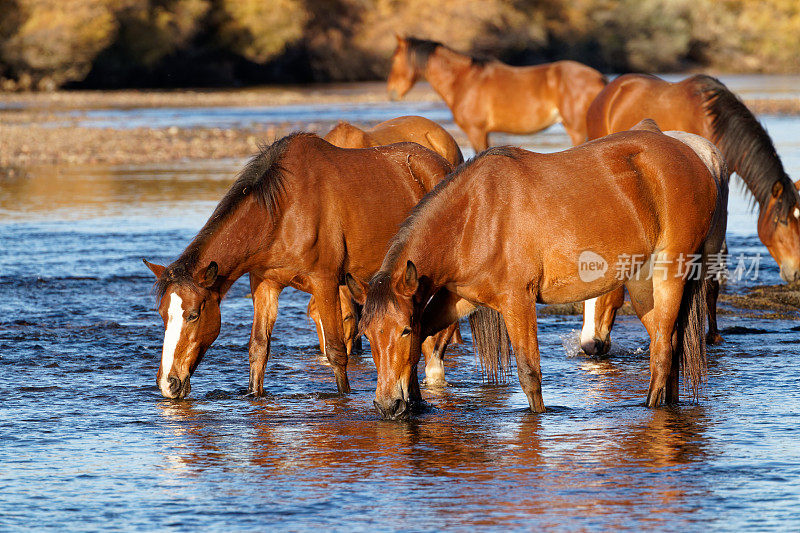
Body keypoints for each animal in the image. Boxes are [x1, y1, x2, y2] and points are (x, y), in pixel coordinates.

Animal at [141, 133, 454, 400]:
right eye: (163, 315)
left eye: (193, 315)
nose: (168, 383)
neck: (282, 212)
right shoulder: (265, 284)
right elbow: (258, 349)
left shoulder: (325, 283)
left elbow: (336, 351)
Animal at [350, 122, 724, 418]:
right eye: (366, 334)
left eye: (402, 331)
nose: (386, 406)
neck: (474, 216)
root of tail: (693, 156)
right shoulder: (459, 300)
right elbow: (426, 336)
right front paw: (412, 398)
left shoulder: (517, 301)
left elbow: (529, 372)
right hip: (643, 285)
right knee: (670, 345)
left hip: (669, 273)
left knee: (661, 352)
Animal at [388, 34, 608, 150]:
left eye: (395, 59)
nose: (391, 92)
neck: (463, 81)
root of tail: (599, 78)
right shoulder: (484, 132)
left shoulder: (476, 131)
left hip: (577, 130)